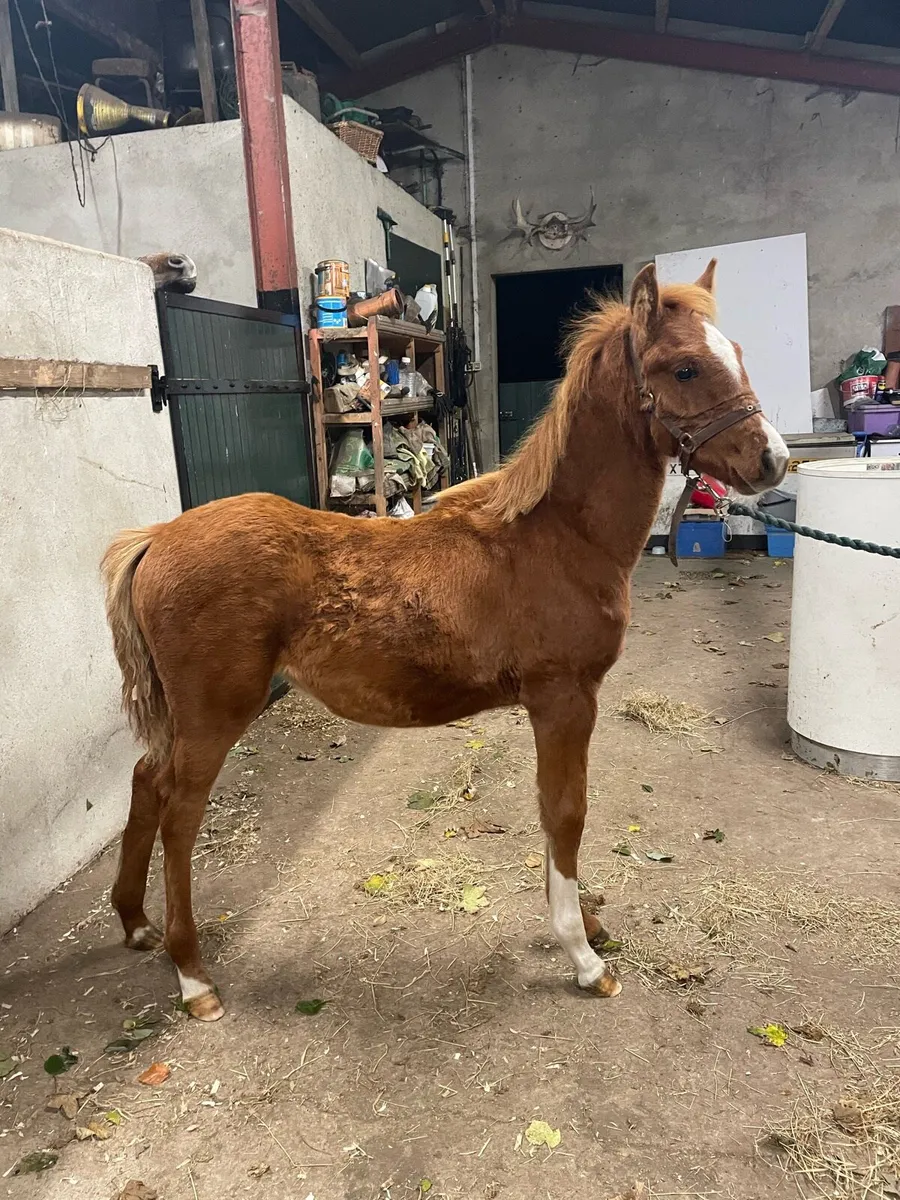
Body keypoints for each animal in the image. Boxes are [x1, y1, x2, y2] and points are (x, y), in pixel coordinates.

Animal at [101, 260, 788, 1021]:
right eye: (686, 366)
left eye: (737, 355)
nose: (774, 459)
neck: (557, 536)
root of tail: (157, 537)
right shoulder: (564, 700)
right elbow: (566, 813)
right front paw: (582, 955)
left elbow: (554, 812)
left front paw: (590, 924)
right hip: (215, 713)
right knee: (179, 815)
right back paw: (193, 977)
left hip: (184, 716)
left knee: (145, 782)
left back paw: (135, 923)